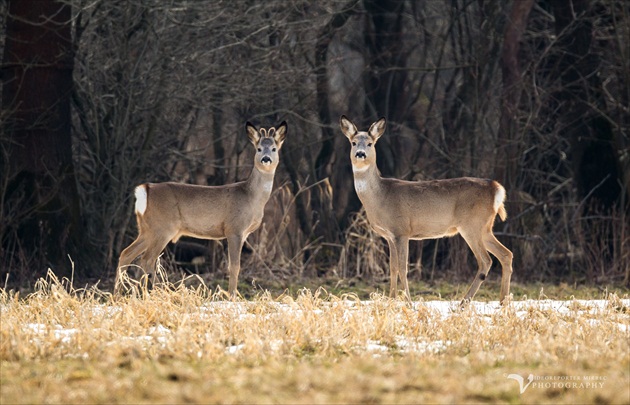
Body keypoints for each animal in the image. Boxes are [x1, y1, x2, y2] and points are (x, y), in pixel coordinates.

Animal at [115, 121, 288, 296]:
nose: (266, 159)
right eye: (258, 148)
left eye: (274, 148)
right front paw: (232, 296)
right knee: (147, 259)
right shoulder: (234, 229)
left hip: (147, 229)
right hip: (163, 227)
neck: (251, 197)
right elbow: (234, 267)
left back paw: (118, 294)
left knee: (126, 254)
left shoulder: (243, 233)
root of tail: (145, 189)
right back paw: (159, 292)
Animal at [340, 115, 512, 304]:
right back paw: (503, 302)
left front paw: (408, 302)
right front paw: (391, 300)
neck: (380, 196)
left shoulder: (402, 231)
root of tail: (496, 188)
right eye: (353, 142)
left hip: (471, 225)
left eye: (370, 143)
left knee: (486, 261)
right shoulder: (390, 236)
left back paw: (464, 303)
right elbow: (392, 268)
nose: (360, 154)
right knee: (506, 254)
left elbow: (403, 268)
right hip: (485, 227)